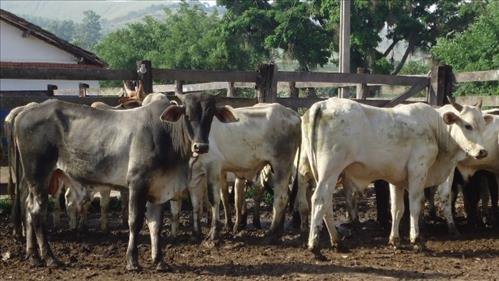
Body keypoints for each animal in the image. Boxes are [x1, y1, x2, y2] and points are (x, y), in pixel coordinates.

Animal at [298, 98, 494, 258]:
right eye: (468, 125)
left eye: (482, 126)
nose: (483, 152)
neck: (435, 128)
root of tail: (322, 105)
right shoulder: (418, 170)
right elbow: (415, 205)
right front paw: (417, 240)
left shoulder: (396, 179)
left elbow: (397, 209)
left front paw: (395, 240)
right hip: (330, 170)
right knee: (319, 200)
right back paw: (315, 247)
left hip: (324, 173)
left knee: (326, 205)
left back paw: (338, 242)